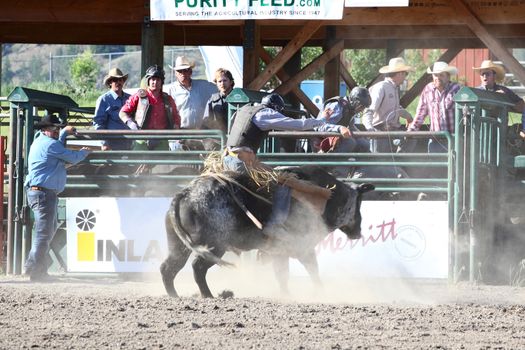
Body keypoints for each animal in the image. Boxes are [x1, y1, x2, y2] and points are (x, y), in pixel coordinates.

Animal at [160, 165, 372, 296]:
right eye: (359, 203)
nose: (358, 232)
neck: (325, 196)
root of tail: (185, 194)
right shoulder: (302, 246)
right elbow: (311, 270)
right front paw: (320, 291)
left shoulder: (278, 251)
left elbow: (282, 275)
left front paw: (286, 294)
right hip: (214, 246)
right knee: (197, 267)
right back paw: (208, 295)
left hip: (179, 245)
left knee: (169, 268)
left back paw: (175, 296)